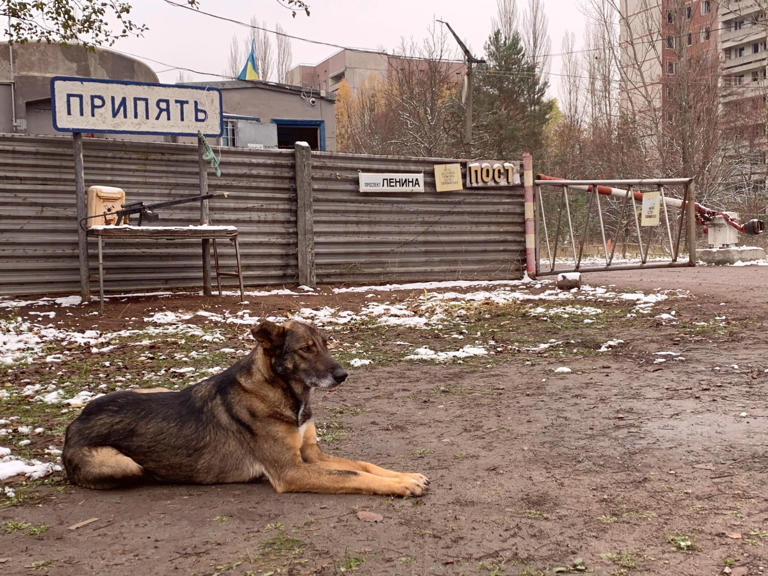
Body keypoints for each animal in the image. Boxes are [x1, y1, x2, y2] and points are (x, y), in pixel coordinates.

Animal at [63, 318, 428, 498]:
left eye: (326, 344)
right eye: (306, 349)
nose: (343, 375)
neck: (283, 393)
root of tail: (73, 425)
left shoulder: (311, 455)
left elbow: (363, 465)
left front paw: (404, 475)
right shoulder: (291, 471)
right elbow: (352, 474)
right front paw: (400, 486)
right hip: (122, 464)